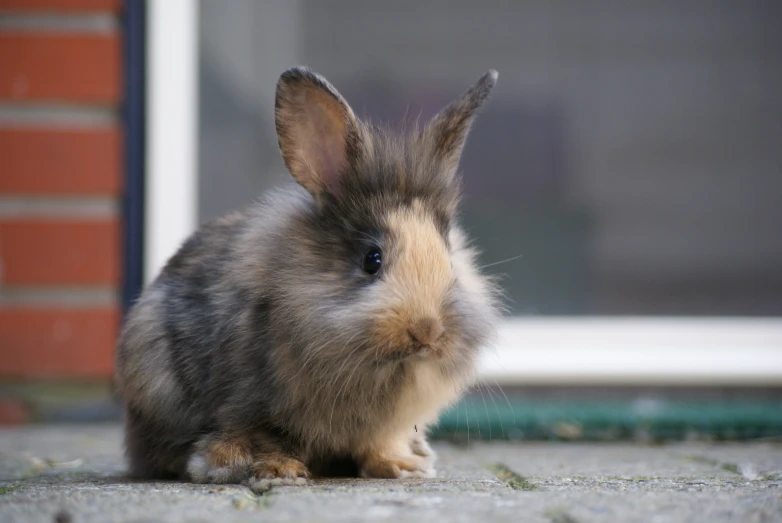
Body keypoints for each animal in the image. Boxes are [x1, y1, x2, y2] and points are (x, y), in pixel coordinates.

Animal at [116, 64, 502, 492]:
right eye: (372, 259)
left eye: (449, 256)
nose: (427, 330)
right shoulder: (254, 402)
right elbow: (264, 436)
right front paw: (275, 471)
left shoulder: (386, 425)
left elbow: (380, 443)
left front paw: (401, 466)